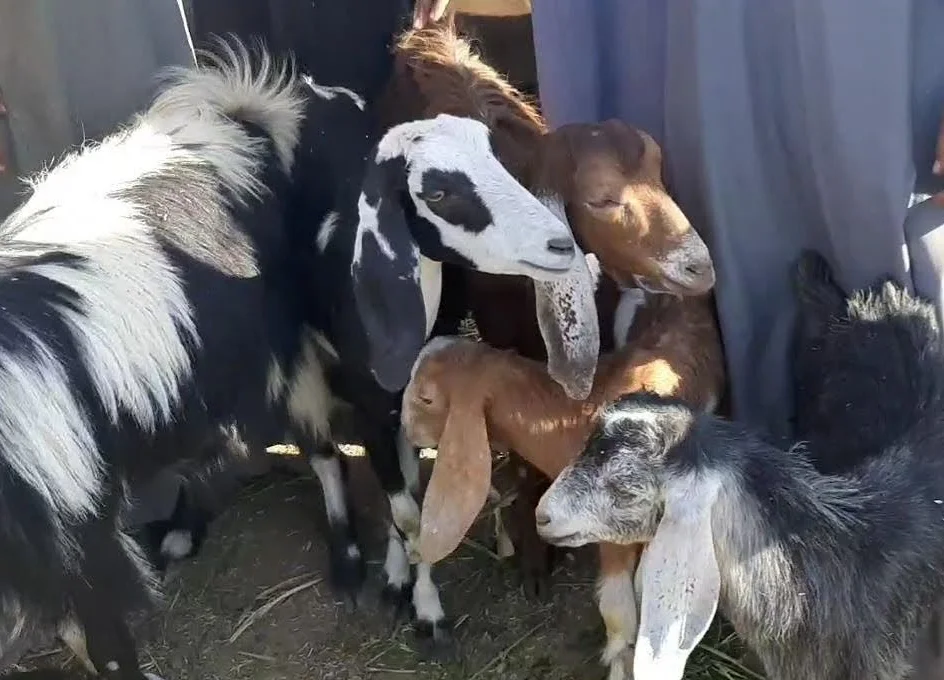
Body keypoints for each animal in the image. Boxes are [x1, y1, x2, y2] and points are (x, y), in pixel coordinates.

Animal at [0, 34, 600, 676]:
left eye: (501, 161)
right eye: (436, 191)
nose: (561, 244)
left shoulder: (408, 395)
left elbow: (413, 496)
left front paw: (414, 593)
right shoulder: (367, 394)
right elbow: (406, 509)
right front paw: (419, 603)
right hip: (295, 361)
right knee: (319, 451)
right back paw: (335, 559)